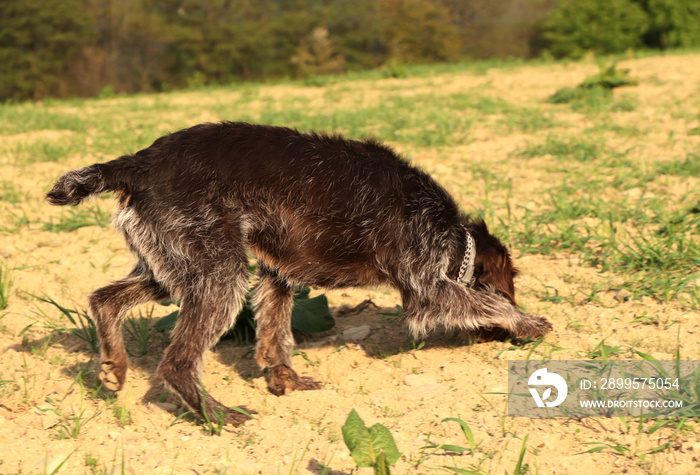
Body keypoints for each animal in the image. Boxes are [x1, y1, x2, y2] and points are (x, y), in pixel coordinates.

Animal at [47, 121, 552, 426]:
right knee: (176, 361)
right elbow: (485, 300)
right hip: (219, 273)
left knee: (104, 298)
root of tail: (137, 163)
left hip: (171, 269)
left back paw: (114, 364)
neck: (451, 232)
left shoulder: (278, 274)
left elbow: (274, 335)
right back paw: (217, 415)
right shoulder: (427, 287)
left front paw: (284, 380)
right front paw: (529, 321)